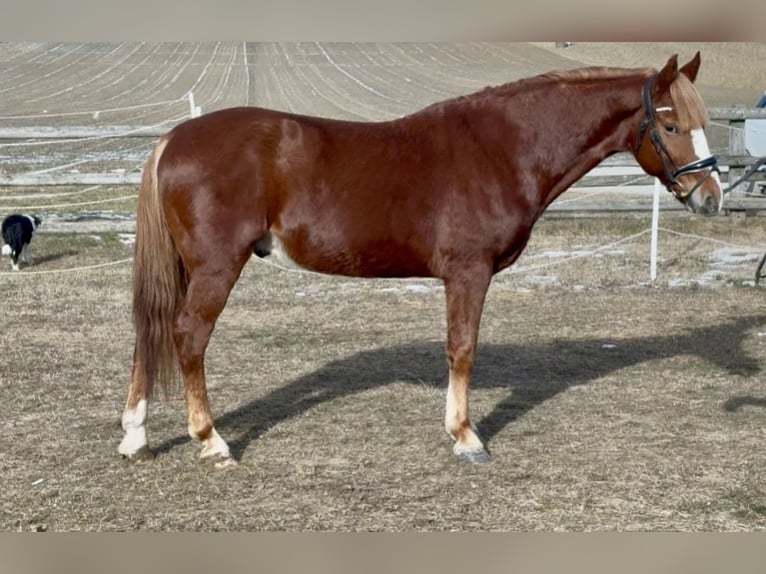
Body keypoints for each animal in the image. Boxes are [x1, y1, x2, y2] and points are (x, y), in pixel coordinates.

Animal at [118, 52, 722, 468]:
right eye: (671, 125)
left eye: (701, 123)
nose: (711, 198)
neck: (501, 148)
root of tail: (172, 140)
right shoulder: (468, 273)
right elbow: (462, 349)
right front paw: (466, 437)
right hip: (216, 268)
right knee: (188, 336)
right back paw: (212, 443)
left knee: (150, 330)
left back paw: (135, 437)